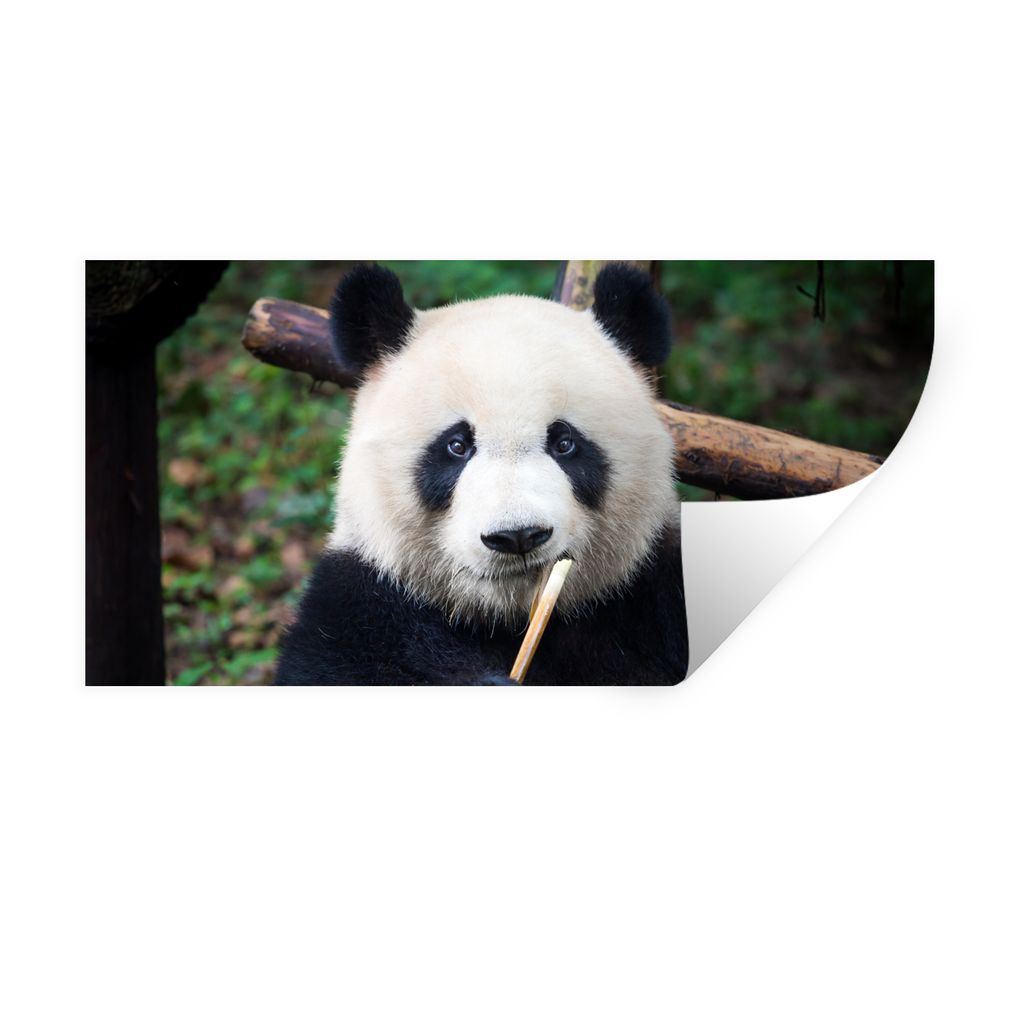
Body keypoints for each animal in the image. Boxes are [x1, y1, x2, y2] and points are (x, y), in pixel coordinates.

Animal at [274, 263, 688, 685]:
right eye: (457, 445)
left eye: (564, 443)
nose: (517, 536)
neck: (506, 619)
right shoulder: (359, 607)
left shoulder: (654, 593)